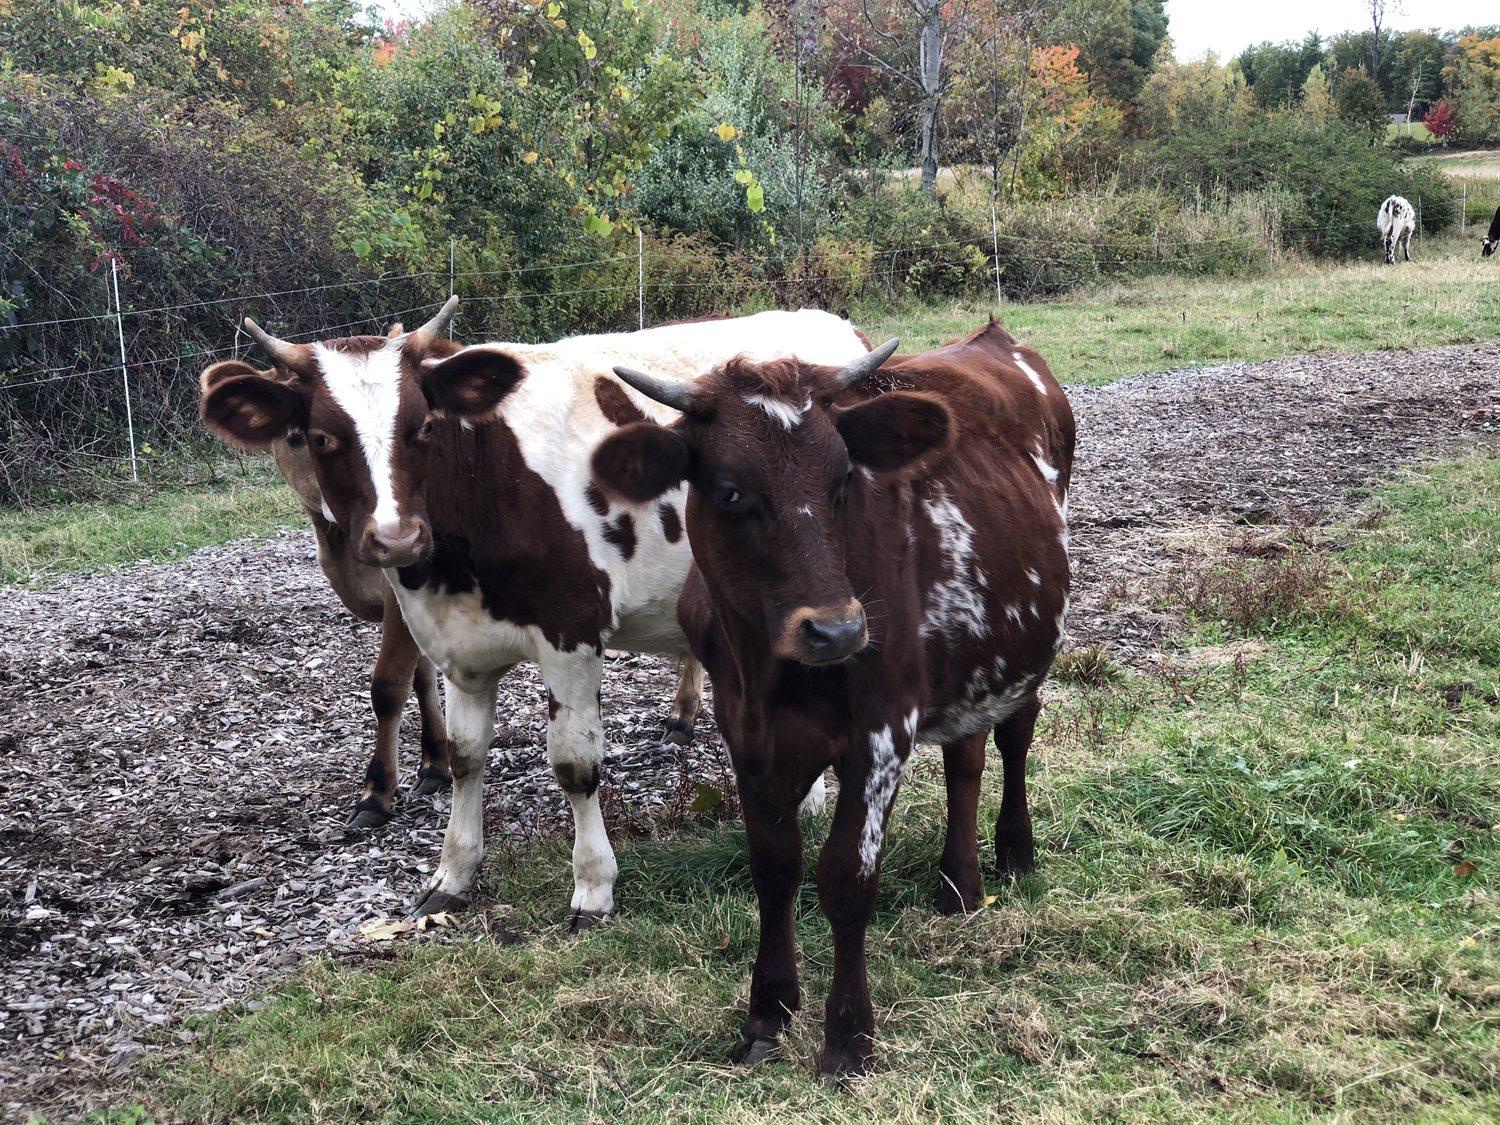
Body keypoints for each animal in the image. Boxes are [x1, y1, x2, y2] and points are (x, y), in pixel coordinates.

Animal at [198, 300, 867, 928]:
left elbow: (574, 765)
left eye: (422, 426)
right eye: (319, 437)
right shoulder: (456, 645)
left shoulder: (572, 634)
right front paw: (452, 874)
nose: (395, 538)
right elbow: (466, 758)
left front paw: (594, 886)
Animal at [590, 320, 1074, 1080]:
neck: (771, 670)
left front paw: (848, 1037)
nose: (838, 629)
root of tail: (991, 339)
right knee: (965, 759)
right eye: (730, 491)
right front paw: (768, 1012)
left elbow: (846, 877)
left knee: (1013, 735)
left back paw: (1013, 853)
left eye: (844, 478)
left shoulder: (883, 725)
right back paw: (959, 884)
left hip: (1023, 644)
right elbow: (774, 868)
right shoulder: (744, 729)